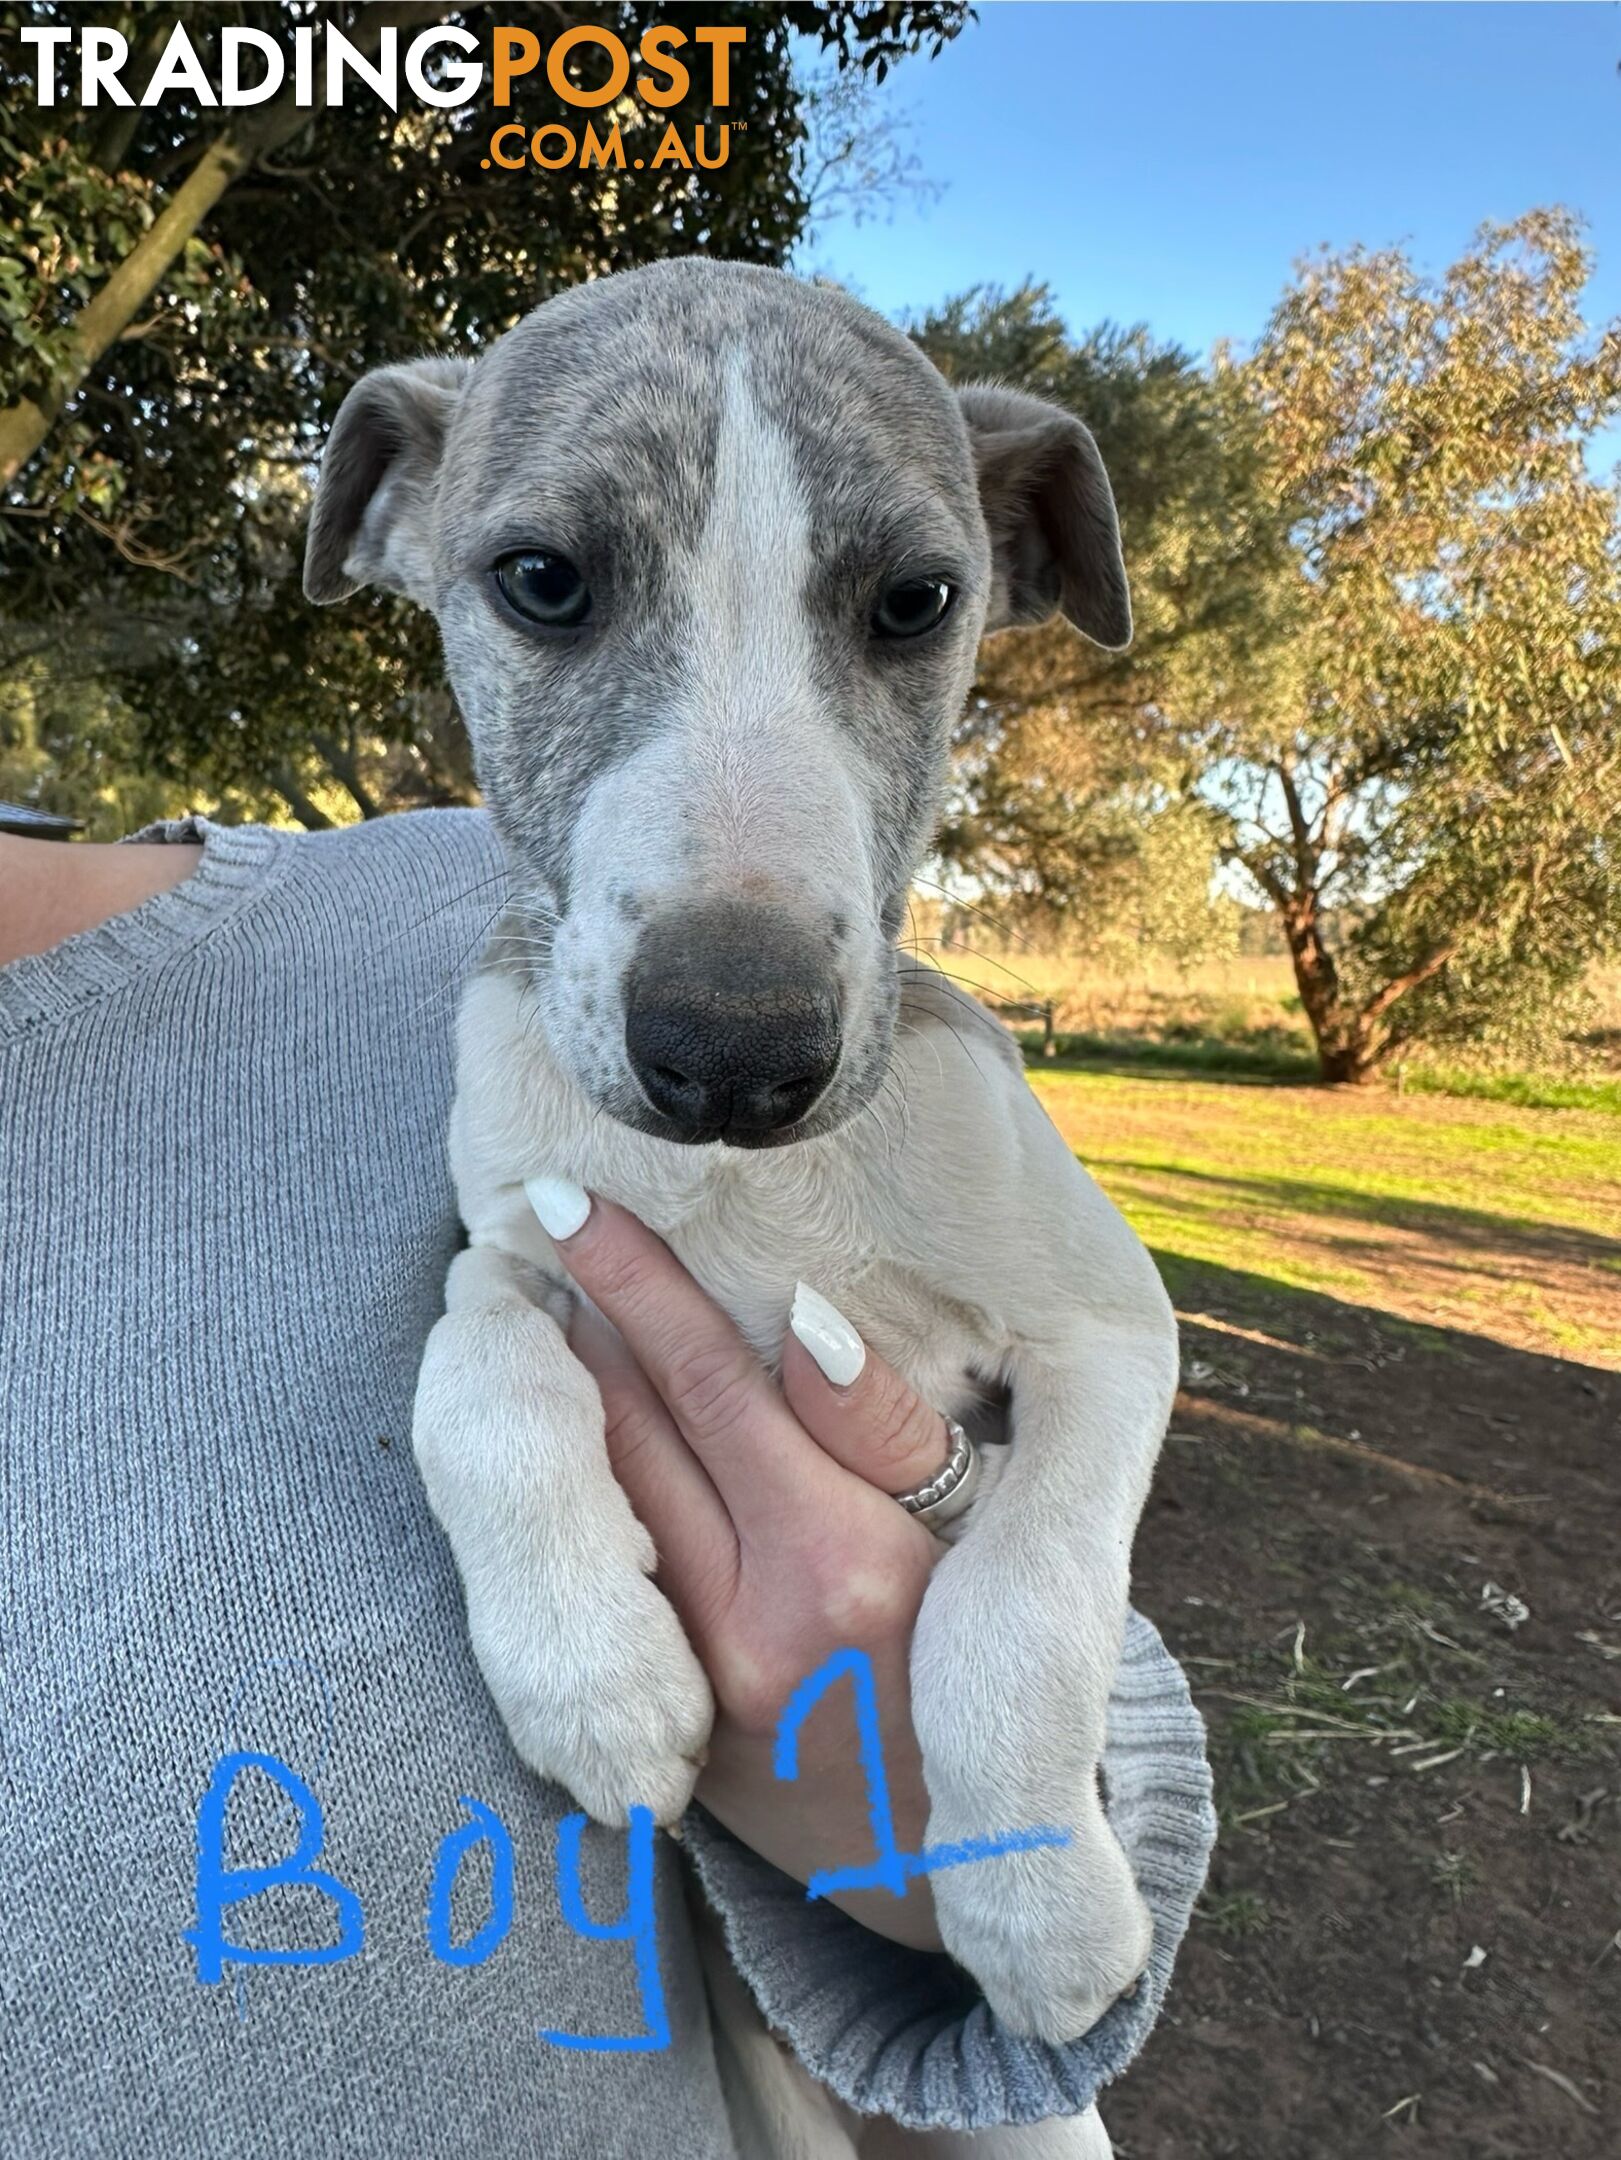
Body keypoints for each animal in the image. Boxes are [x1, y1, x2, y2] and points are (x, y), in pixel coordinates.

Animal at [304, 261, 1184, 2151]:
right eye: (541, 580)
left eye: (919, 600)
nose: (732, 1051)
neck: (740, 1191)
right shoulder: (518, 1247)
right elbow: (470, 1385)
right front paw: (593, 1670)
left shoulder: (1109, 1325)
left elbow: (1023, 1591)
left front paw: (1038, 1897)